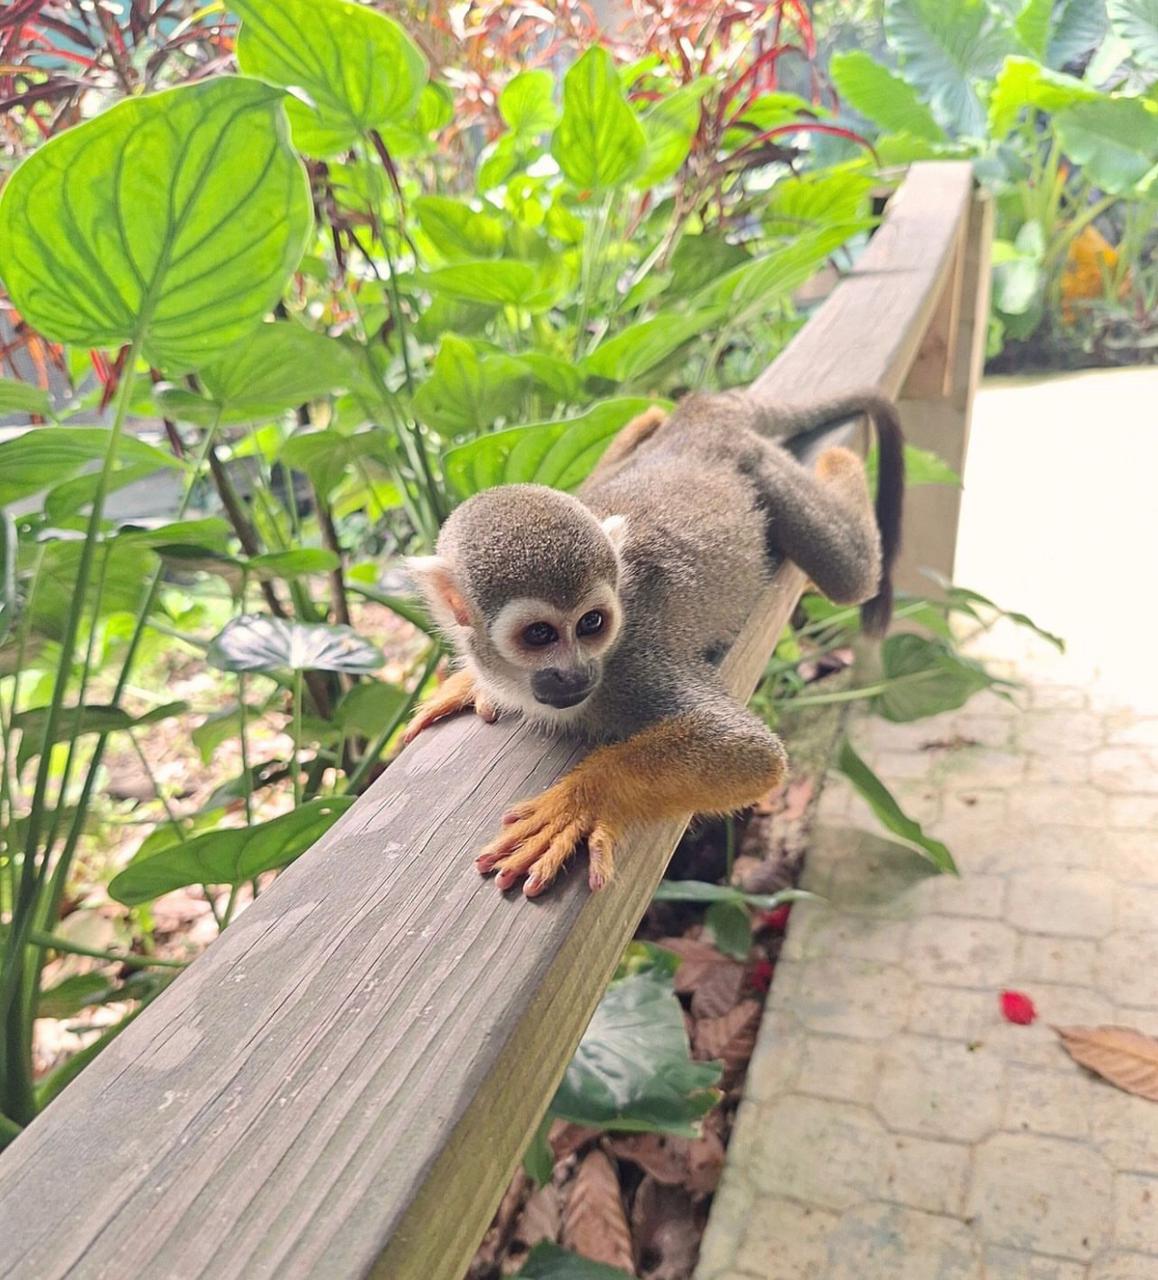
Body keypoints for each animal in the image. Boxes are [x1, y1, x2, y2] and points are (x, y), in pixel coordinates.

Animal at [405, 387, 904, 898]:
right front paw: (471, 681)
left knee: (850, 575)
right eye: (540, 634)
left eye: (592, 624)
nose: (577, 673)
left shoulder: (632, 662)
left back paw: (839, 461)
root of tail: (703, 418)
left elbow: (751, 751)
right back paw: (647, 421)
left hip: (758, 463)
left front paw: (585, 798)